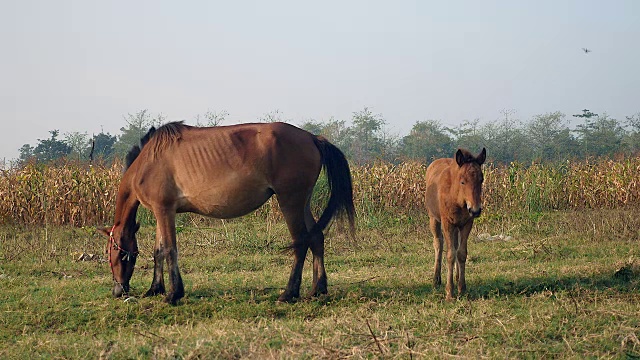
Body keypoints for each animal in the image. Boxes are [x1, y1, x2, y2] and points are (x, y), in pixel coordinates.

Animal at [102, 121, 358, 304]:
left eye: (114, 254)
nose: (118, 290)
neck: (148, 161)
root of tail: (313, 138)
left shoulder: (164, 210)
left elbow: (170, 250)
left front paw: (173, 294)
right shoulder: (161, 211)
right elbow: (158, 251)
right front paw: (155, 289)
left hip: (290, 202)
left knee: (301, 243)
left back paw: (289, 293)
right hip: (302, 203)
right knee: (316, 238)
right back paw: (317, 289)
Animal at [424, 148, 484, 300]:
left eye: (481, 180)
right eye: (462, 181)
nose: (475, 210)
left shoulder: (467, 223)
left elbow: (461, 253)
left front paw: (462, 288)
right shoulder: (448, 223)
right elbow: (450, 254)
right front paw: (449, 292)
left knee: (455, 246)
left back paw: (456, 277)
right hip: (433, 219)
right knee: (438, 244)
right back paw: (436, 279)